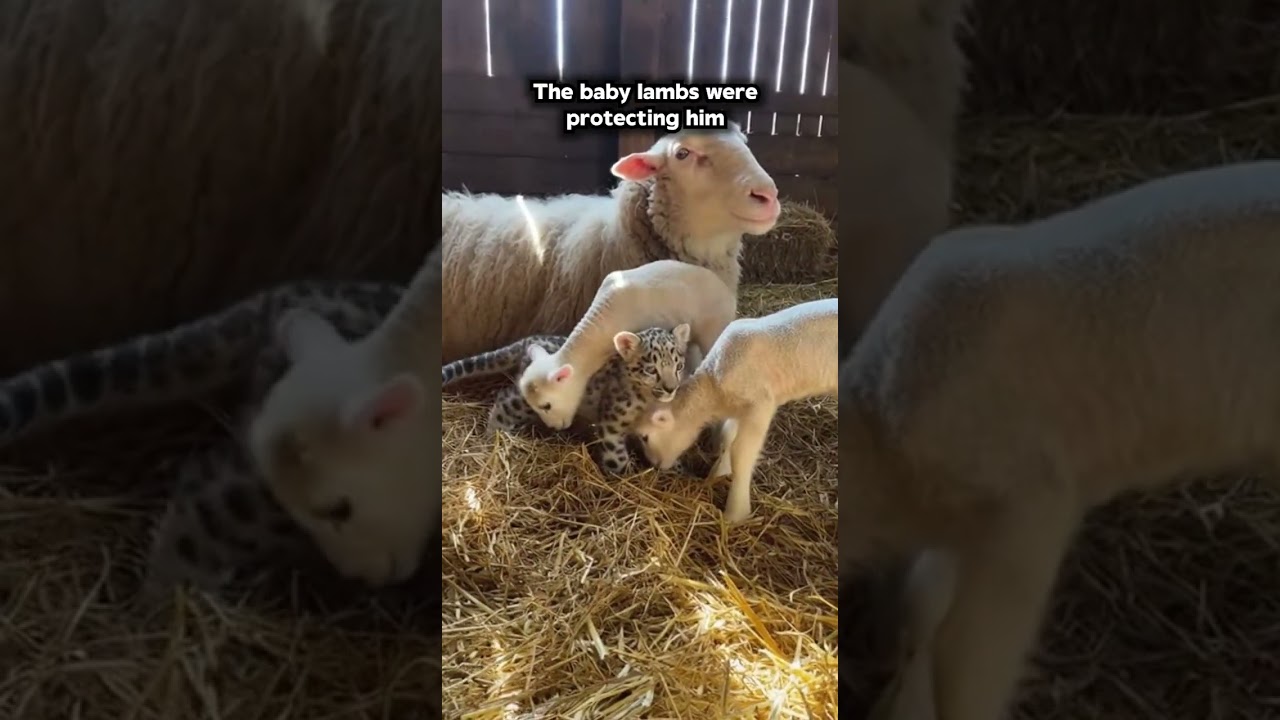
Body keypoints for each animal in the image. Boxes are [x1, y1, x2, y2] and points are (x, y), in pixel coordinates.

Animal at [631, 297, 838, 524]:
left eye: (645, 437)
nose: (654, 466)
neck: (713, 384)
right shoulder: (738, 407)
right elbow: (727, 437)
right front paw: (716, 475)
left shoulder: (759, 405)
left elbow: (741, 454)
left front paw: (735, 512)